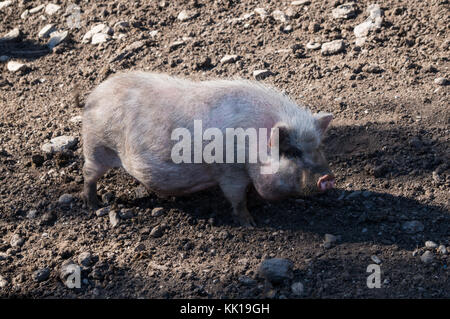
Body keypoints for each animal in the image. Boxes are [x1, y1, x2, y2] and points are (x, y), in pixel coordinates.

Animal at [81, 72, 334, 228]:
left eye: (318, 147)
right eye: (291, 152)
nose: (328, 178)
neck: (251, 146)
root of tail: (93, 96)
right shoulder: (229, 172)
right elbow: (236, 199)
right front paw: (251, 223)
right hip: (97, 146)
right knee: (88, 174)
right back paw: (95, 205)